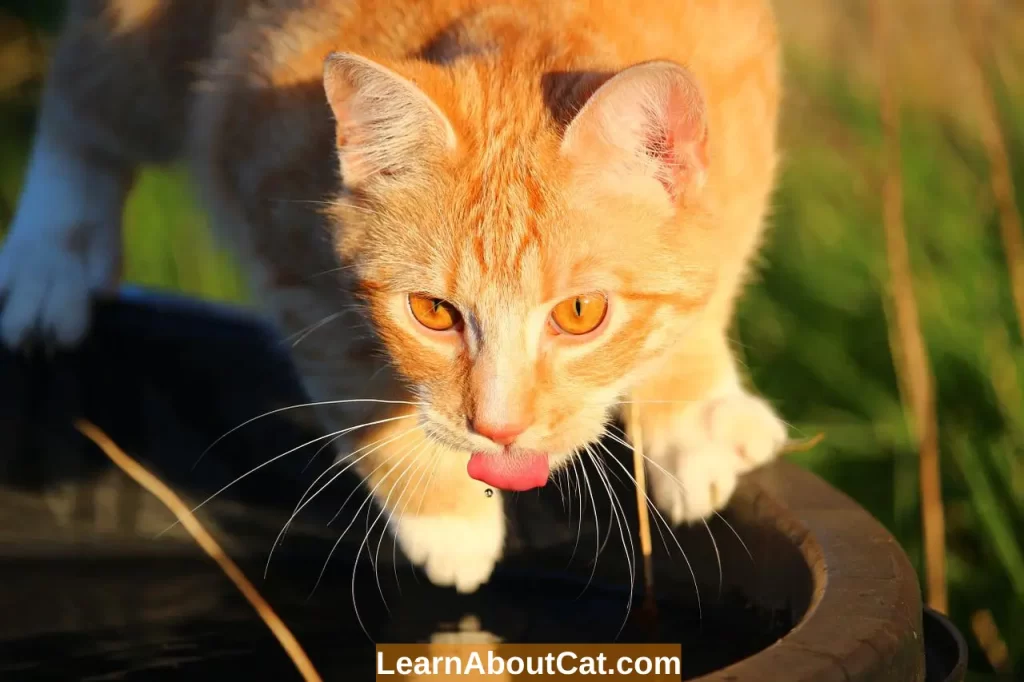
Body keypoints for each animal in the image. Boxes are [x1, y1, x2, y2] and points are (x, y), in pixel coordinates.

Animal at [0, 0, 782, 589]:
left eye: (581, 314)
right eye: (433, 313)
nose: (498, 430)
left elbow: (705, 290)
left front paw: (694, 413)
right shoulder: (273, 214)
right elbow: (354, 379)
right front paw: (448, 517)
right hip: (147, 49)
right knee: (85, 96)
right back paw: (48, 260)